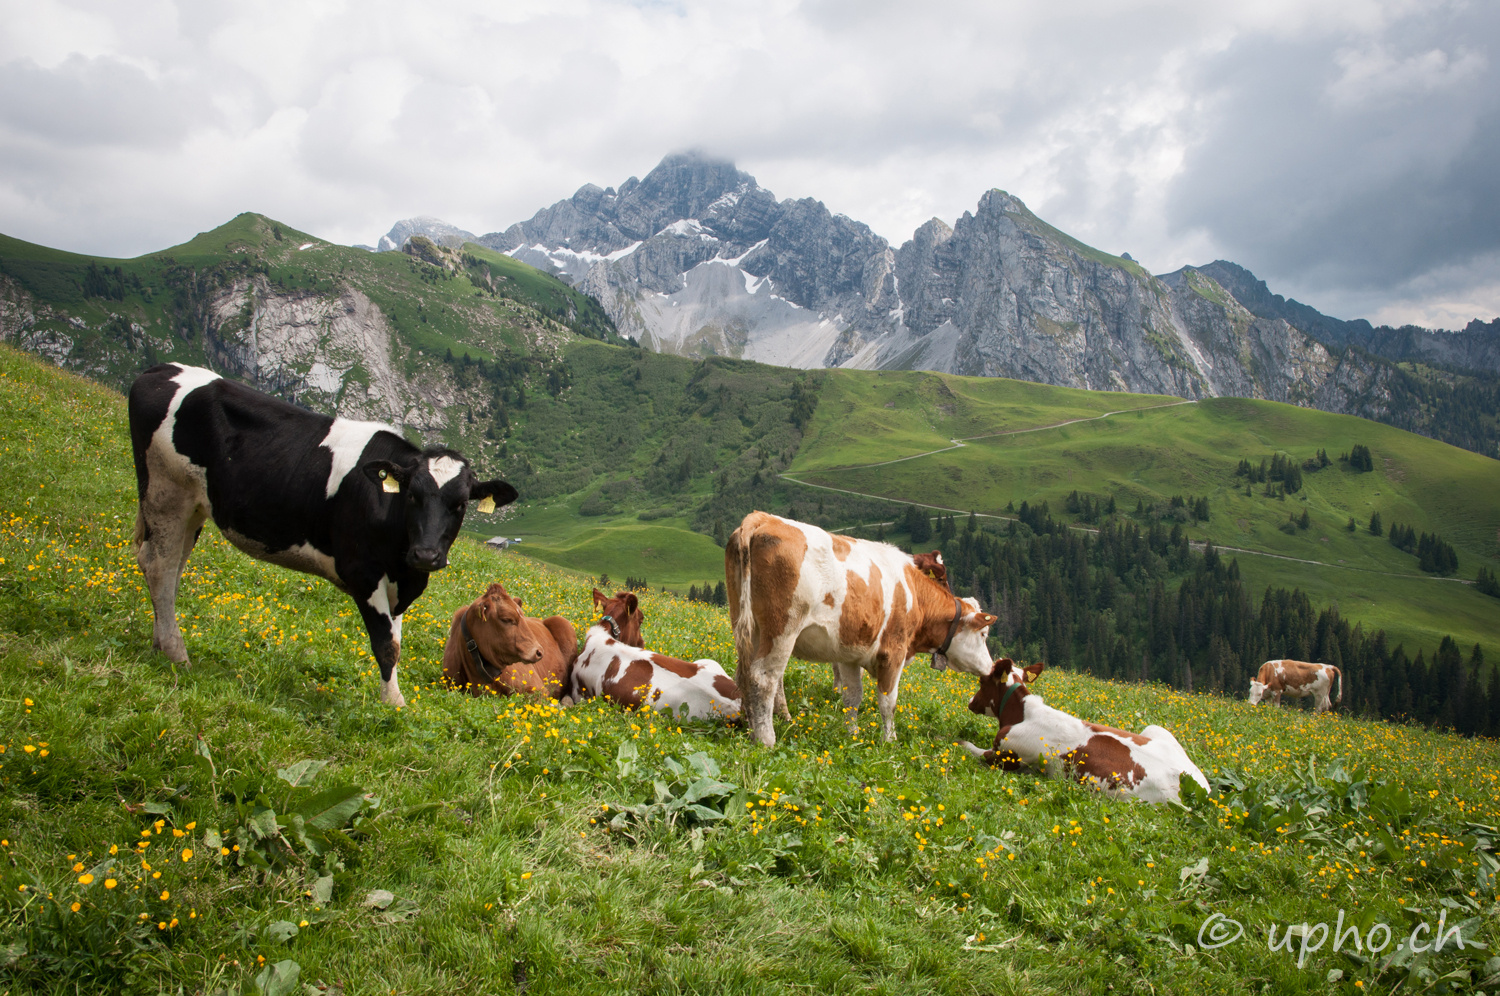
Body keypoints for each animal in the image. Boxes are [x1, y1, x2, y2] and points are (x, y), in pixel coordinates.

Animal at [129, 366, 516, 708]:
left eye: (460, 504)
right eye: (411, 496)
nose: (426, 555)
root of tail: (159, 370)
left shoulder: (401, 584)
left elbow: (396, 641)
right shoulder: (362, 573)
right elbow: (385, 645)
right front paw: (394, 703)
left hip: (193, 505)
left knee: (171, 571)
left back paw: (160, 643)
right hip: (166, 491)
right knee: (159, 566)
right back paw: (177, 654)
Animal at [567, 588, 744, 720]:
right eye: (641, 620)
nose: (641, 643)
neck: (604, 633)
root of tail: (737, 706)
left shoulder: (578, 692)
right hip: (710, 662)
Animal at [726, 513, 996, 747]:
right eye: (983, 635)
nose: (990, 667)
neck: (913, 593)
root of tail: (762, 518)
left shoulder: (849, 654)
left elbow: (852, 697)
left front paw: (852, 733)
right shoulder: (894, 651)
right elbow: (888, 701)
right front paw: (889, 740)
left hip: (748, 628)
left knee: (744, 673)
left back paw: (749, 726)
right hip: (783, 628)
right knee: (764, 677)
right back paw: (766, 739)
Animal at [954, 657, 1212, 804]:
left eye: (982, 680)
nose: (970, 702)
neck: (1022, 714)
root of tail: (1201, 786)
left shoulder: (1005, 755)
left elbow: (969, 748)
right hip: (1156, 729)